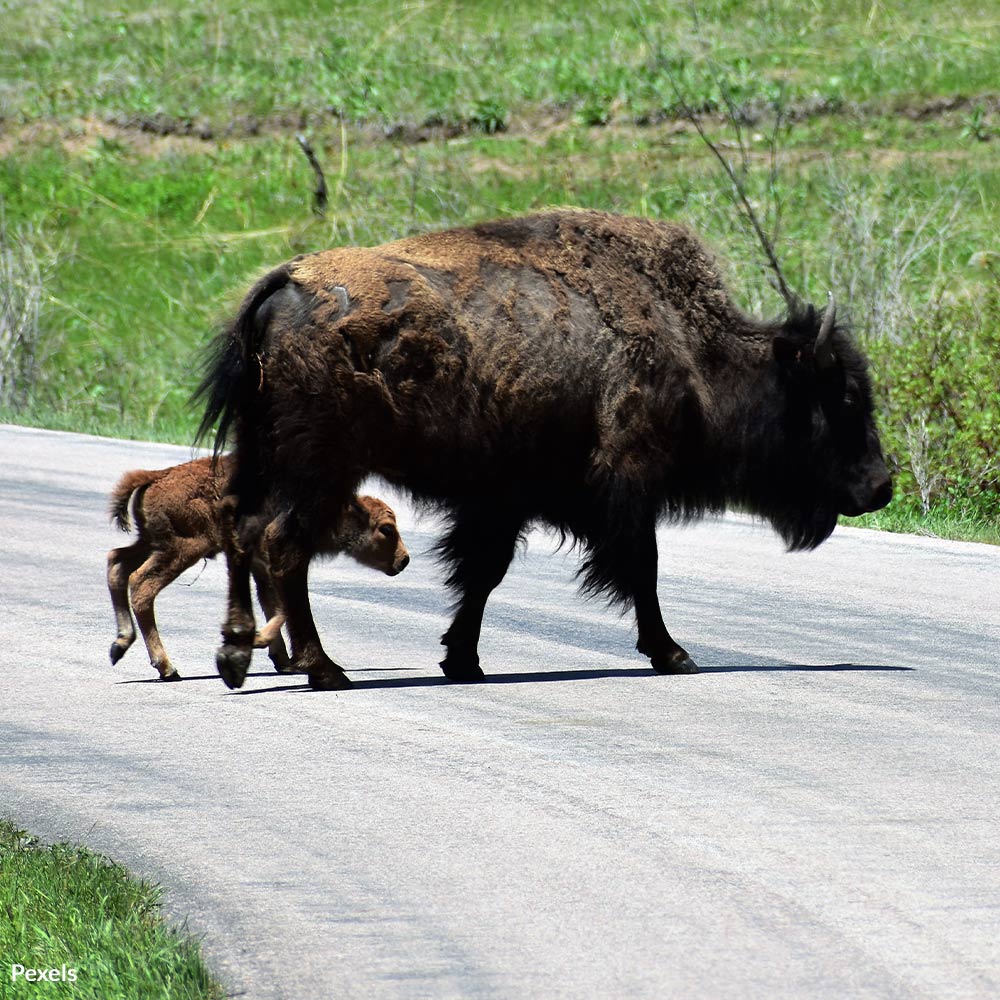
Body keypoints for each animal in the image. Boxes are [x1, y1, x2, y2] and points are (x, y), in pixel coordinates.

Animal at [105, 458, 406, 680]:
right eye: (386, 529)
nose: (404, 560)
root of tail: (158, 475)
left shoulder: (262, 568)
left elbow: (272, 604)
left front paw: (283, 661)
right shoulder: (277, 564)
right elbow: (284, 607)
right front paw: (259, 641)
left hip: (150, 542)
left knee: (116, 563)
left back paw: (120, 645)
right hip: (184, 548)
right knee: (141, 584)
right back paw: (167, 667)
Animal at [195, 207, 892, 692]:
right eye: (843, 398)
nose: (881, 485)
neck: (690, 350)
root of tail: (285, 283)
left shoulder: (501, 501)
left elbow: (483, 574)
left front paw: (463, 661)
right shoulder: (626, 486)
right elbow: (641, 568)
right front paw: (675, 655)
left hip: (264, 461)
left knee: (243, 530)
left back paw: (237, 654)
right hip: (320, 469)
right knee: (283, 545)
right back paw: (324, 669)